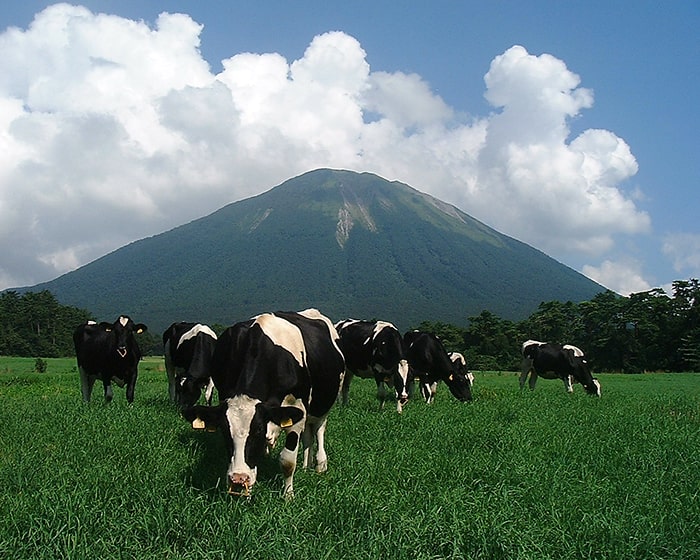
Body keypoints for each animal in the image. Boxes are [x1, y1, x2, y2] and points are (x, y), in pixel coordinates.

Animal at [180, 310, 344, 498]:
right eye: (224, 430)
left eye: (258, 430)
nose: (238, 478)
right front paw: (247, 491)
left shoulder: (297, 408)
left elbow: (287, 461)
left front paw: (288, 495)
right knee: (308, 435)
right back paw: (306, 466)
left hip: (324, 403)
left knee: (319, 428)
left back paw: (320, 465)